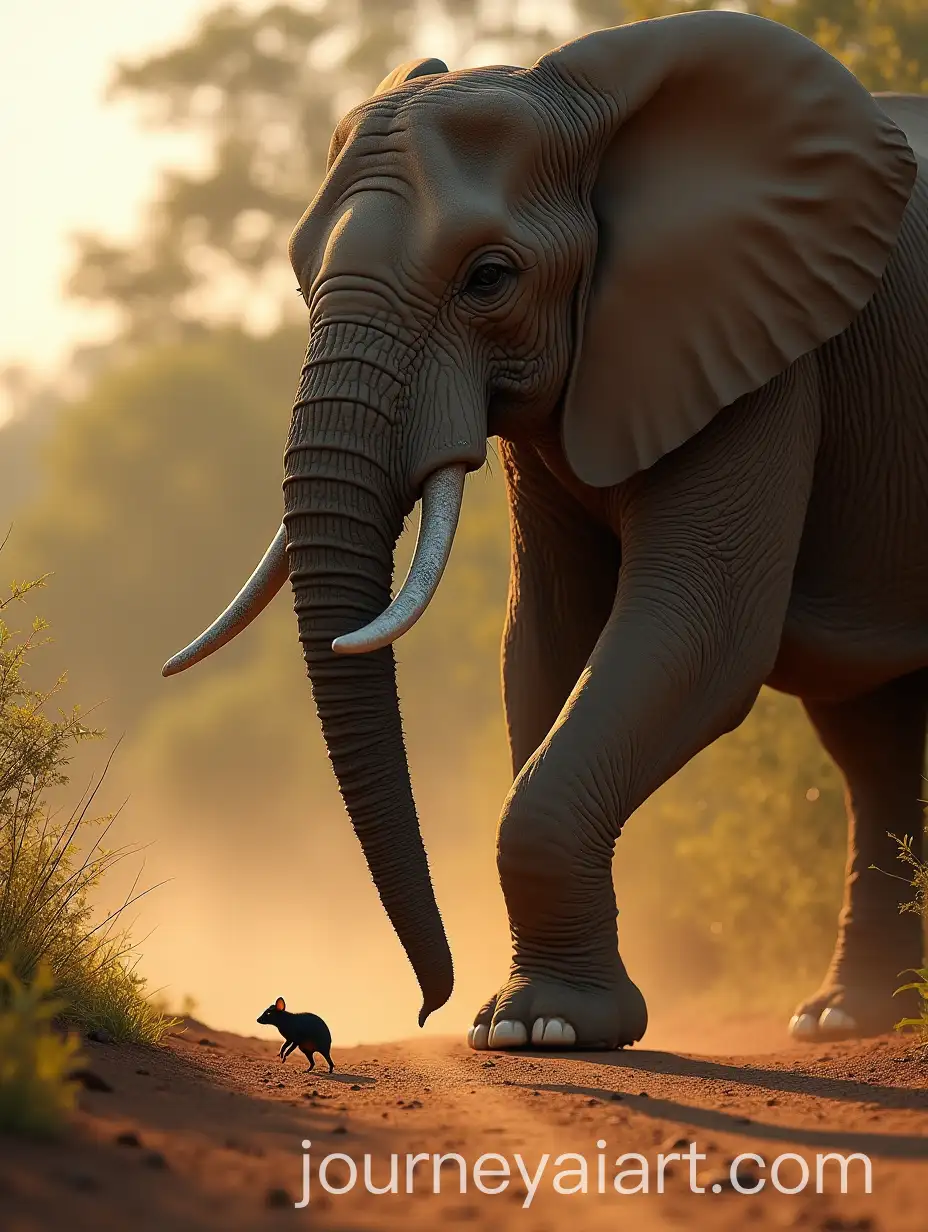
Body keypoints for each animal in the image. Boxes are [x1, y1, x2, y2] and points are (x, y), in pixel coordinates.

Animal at [164, 9, 928, 1051]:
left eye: (489, 278)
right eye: (298, 278)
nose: (426, 1006)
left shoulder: (766, 352)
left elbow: (699, 633)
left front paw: (548, 1029)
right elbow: (546, 640)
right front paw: (521, 1025)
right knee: (870, 734)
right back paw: (850, 1018)